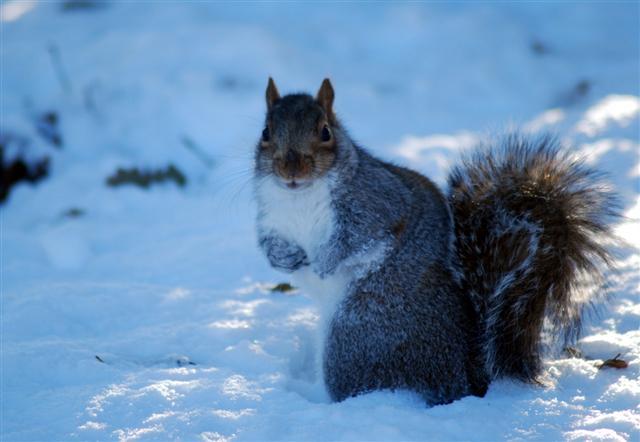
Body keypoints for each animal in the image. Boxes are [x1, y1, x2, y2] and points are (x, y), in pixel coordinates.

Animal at [253, 78, 618, 405]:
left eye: (325, 131)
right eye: (266, 132)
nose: (291, 170)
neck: (299, 198)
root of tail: (465, 379)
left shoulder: (378, 204)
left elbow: (357, 239)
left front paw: (325, 264)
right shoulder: (271, 218)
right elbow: (269, 243)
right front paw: (281, 258)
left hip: (355, 336)